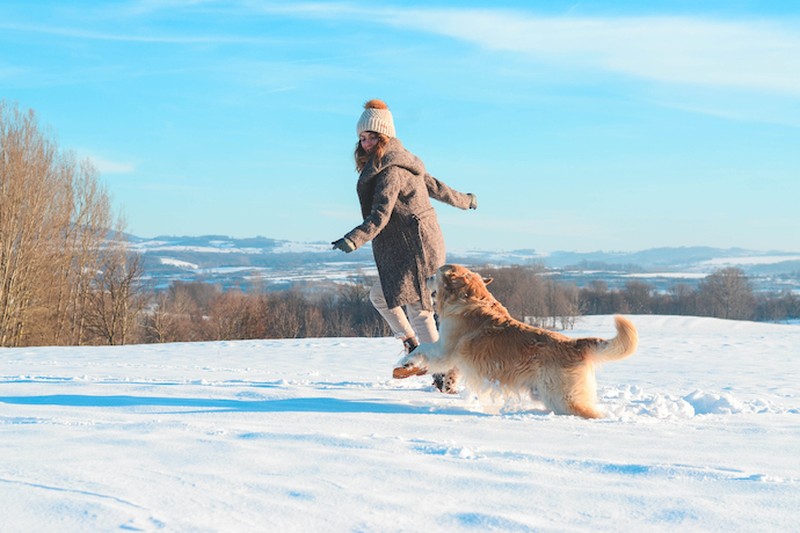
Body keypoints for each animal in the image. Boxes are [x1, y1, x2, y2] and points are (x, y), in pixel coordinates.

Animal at [390, 264, 640, 418]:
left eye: (436, 273)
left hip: (561, 398)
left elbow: (423, 348)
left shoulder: (445, 349)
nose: (425, 277)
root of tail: (574, 344)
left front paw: (406, 362)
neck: (469, 299)